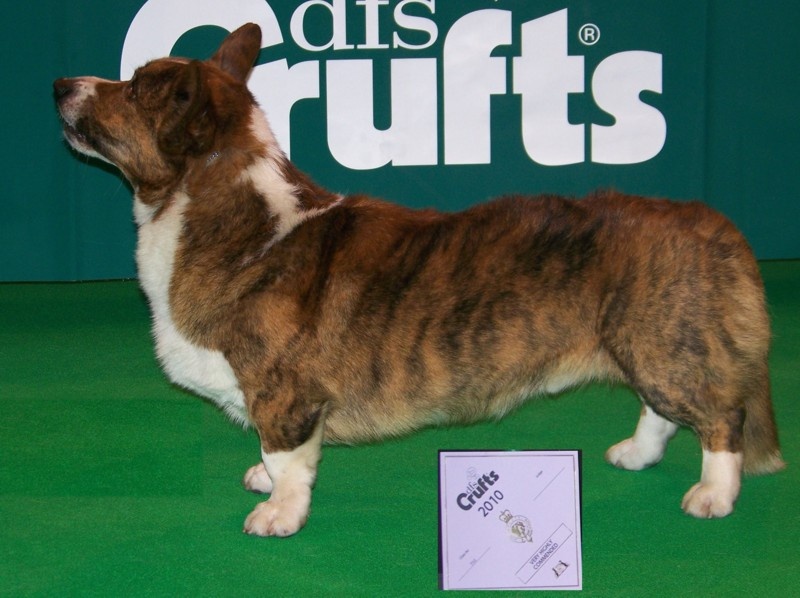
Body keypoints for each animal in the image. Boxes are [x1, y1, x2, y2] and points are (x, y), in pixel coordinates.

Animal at [54, 24, 783, 536]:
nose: (60, 82)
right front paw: (261, 479)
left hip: (663, 344)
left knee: (721, 416)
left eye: (134, 88)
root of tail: (713, 224)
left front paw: (277, 514)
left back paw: (713, 495)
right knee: (664, 410)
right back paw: (634, 453)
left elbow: (287, 457)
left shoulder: (286, 395)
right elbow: (274, 456)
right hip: (649, 346)